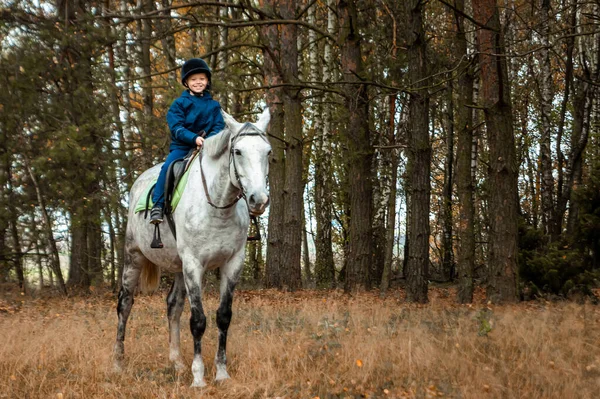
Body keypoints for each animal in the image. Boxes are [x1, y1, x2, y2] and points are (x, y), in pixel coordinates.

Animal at [113, 108, 272, 388]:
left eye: (268, 152)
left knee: (173, 306)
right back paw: (118, 363)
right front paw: (198, 377)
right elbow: (198, 321)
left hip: (178, 266)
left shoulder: (232, 263)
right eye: (237, 151)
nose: (258, 200)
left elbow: (223, 316)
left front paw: (221, 373)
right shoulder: (194, 264)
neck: (218, 207)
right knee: (125, 304)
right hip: (134, 257)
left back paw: (176, 362)